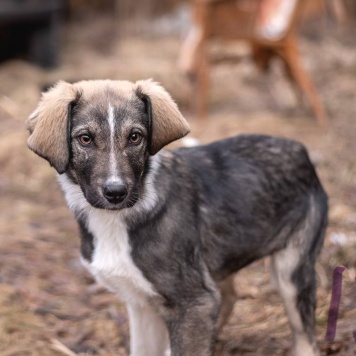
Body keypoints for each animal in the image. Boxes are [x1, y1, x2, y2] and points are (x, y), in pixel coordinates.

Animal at [26, 79, 328, 354]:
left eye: (135, 137)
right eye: (85, 139)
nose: (116, 192)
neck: (116, 222)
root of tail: (299, 149)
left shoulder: (194, 301)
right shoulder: (141, 303)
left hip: (291, 271)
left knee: (307, 340)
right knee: (228, 296)